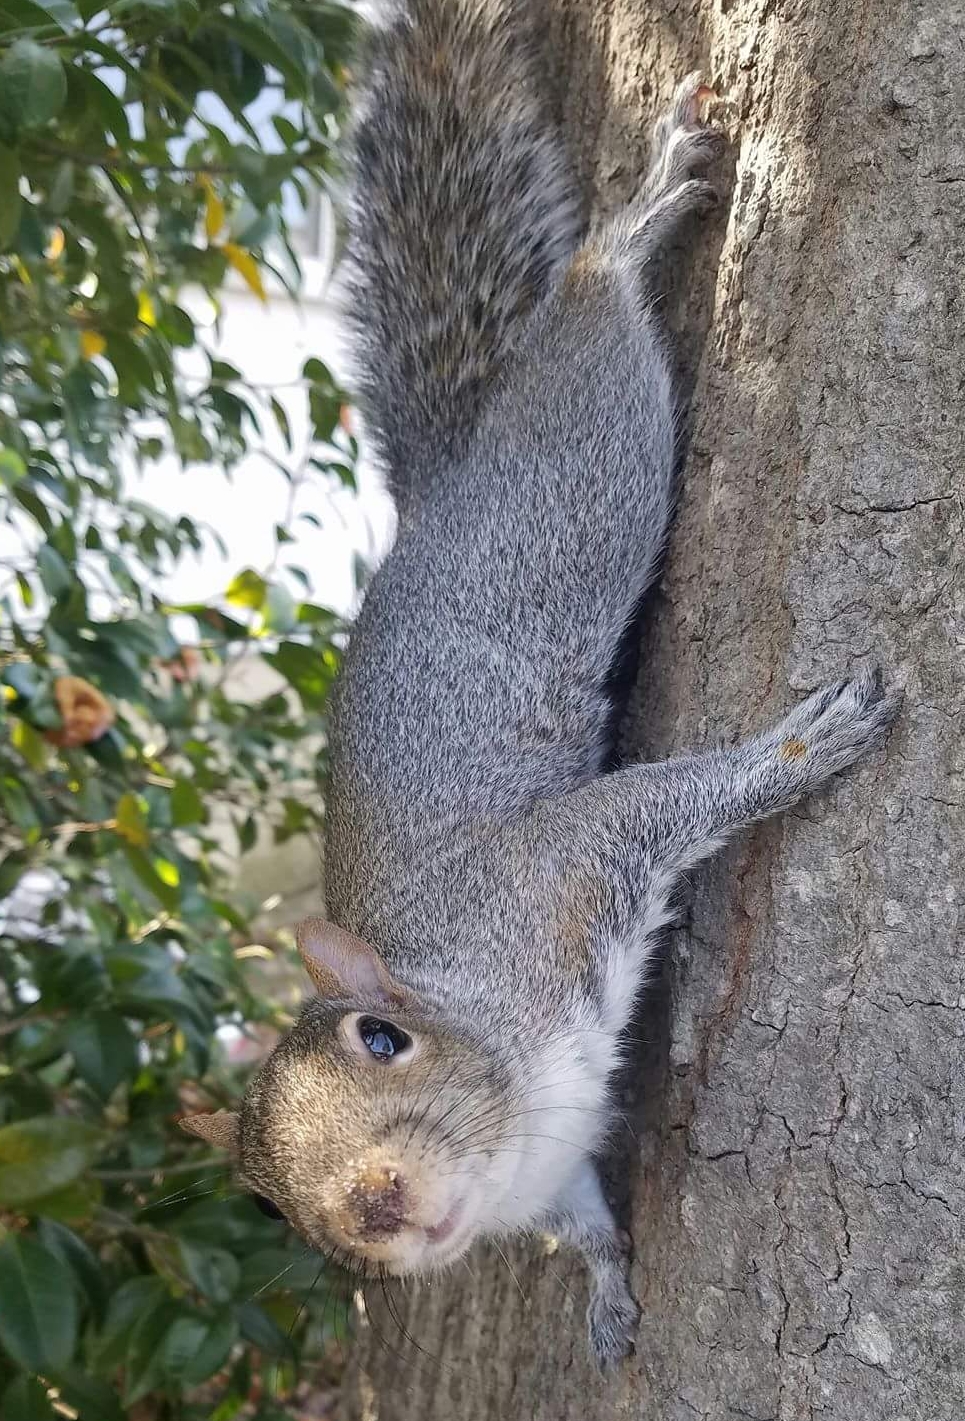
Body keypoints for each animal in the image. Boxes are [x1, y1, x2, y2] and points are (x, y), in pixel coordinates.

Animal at [182, 0, 900, 1369]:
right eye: (258, 1197)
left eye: (382, 1036)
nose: (372, 1204)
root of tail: (443, 487)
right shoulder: (549, 1169)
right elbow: (586, 1226)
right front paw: (607, 1291)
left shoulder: (551, 873)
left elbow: (662, 798)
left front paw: (802, 748)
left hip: (568, 490)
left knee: (592, 320)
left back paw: (633, 222)